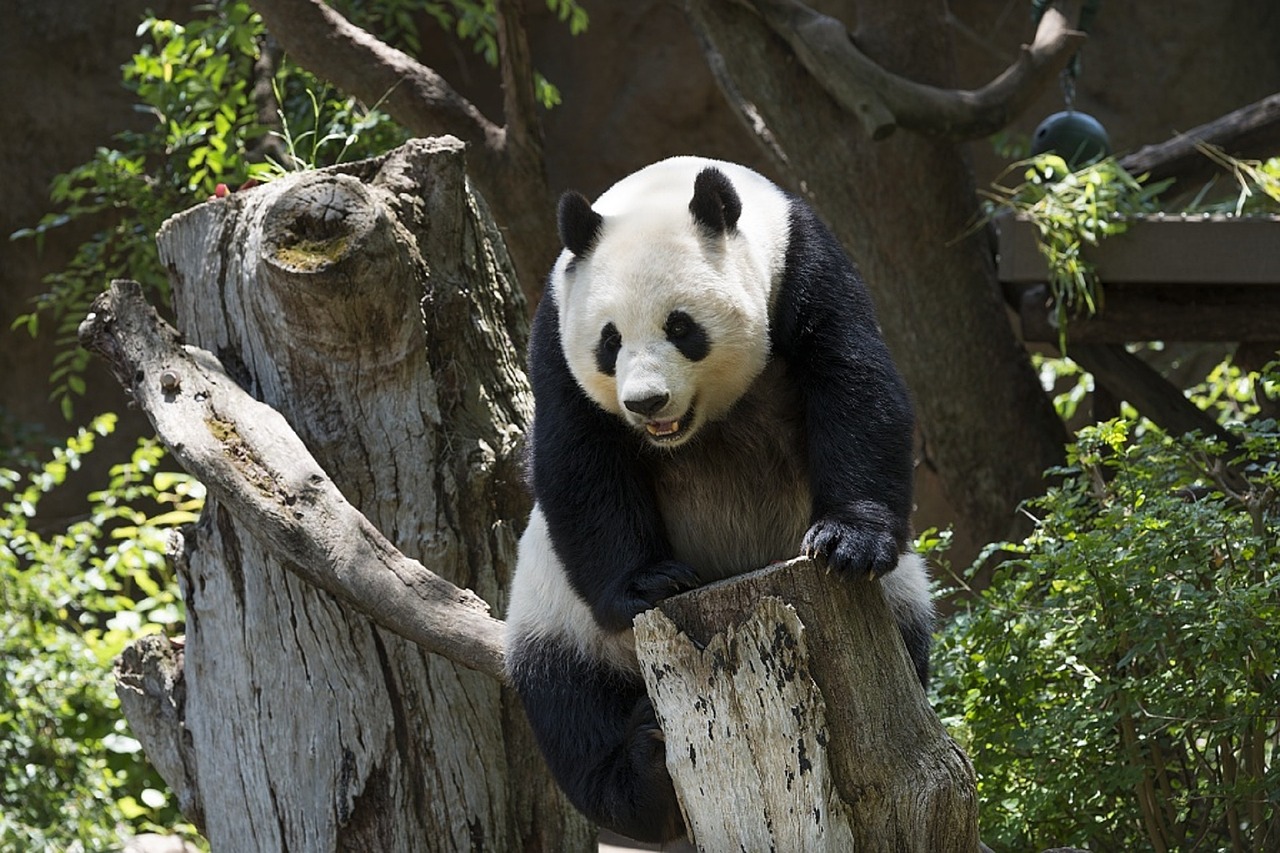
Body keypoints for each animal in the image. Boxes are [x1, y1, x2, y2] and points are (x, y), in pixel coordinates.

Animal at [504, 156, 933, 843]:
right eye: (608, 341)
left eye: (682, 328)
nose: (646, 402)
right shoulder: (555, 325)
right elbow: (579, 455)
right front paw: (650, 583)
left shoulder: (803, 265)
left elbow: (853, 380)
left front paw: (847, 540)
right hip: (557, 618)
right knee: (571, 708)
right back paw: (645, 772)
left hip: (900, 603)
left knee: (910, 632)